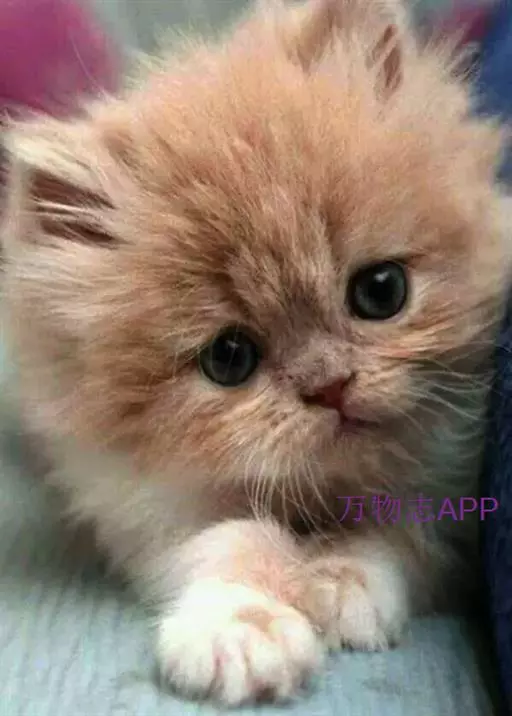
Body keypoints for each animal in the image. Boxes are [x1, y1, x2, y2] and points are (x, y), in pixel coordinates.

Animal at [1, 0, 511, 706]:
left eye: (381, 291)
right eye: (229, 358)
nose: (330, 387)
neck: (324, 492)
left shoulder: (453, 503)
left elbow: (394, 530)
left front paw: (340, 582)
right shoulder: (148, 506)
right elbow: (232, 541)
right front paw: (243, 630)